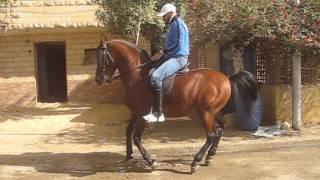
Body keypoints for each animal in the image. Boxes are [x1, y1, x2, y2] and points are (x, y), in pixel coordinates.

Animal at [94, 36, 258, 173]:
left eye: (101, 58)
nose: (98, 80)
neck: (137, 76)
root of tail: (227, 78)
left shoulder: (143, 114)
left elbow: (137, 137)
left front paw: (151, 161)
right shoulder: (135, 112)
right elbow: (128, 132)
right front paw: (128, 155)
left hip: (206, 113)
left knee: (212, 134)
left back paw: (196, 161)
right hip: (214, 112)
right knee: (220, 130)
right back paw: (210, 156)